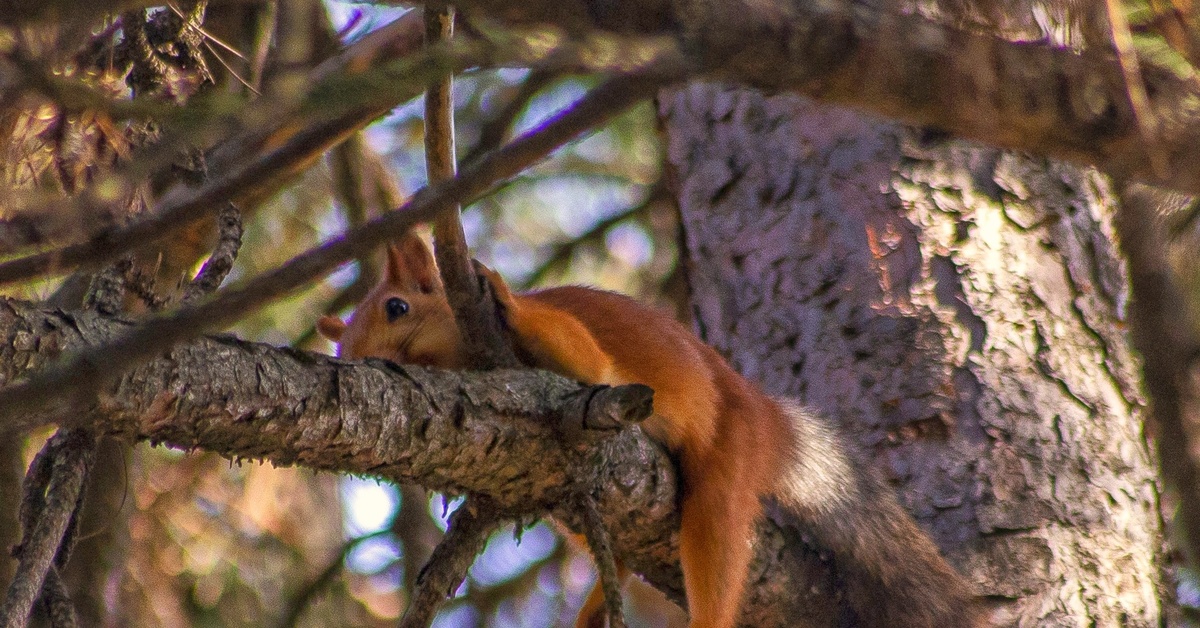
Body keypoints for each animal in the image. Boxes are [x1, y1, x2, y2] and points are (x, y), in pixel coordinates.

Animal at [319, 231, 984, 628]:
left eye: (397, 307)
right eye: (344, 346)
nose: (365, 364)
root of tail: (758, 407)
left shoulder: (581, 356)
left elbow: (583, 359)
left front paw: (504, 292)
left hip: (727, 460)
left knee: (716, 544)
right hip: (577, 509)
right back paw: (595, 603)